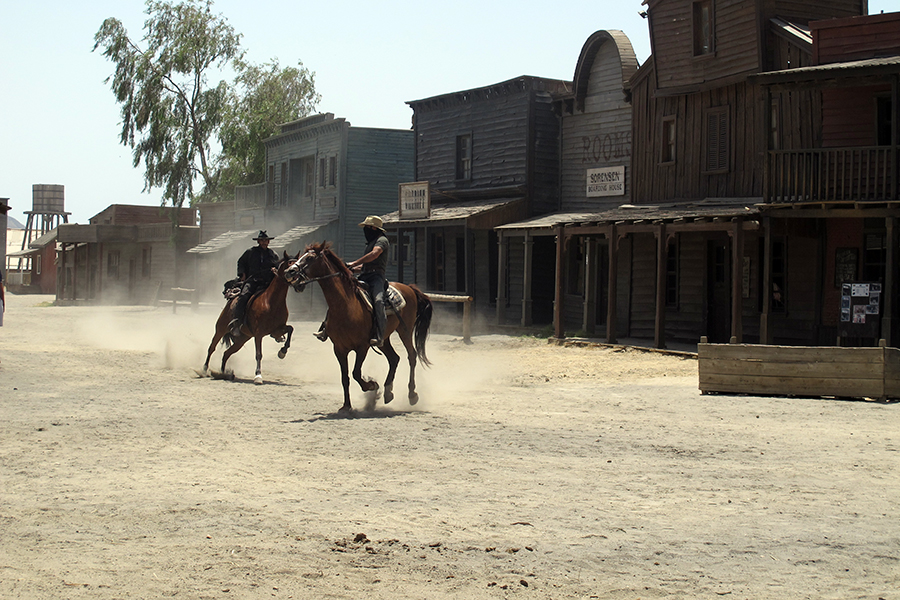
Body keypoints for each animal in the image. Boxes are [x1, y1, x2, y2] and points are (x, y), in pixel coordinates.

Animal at [202, 250, 300, 384]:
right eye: (290, 263)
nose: (297, 274)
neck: (271, 302)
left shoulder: (276, 330)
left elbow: (290, 329)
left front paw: (282, 352)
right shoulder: (259, 334)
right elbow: (259, 354)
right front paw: (258, 376)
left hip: (242, 339)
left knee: (227, 353)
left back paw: (223, 374)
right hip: (220, 329)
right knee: (211, 348)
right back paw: (204, 370)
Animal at [286, 240, 430, 412]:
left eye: (310, 258)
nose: (289, 272)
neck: (346, 305)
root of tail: (410, 288)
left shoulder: (363, 346)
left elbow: (355, 373)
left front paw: (372, 385)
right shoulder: (339, 349)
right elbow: (345, 378)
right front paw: (346, 406)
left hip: (405, 331)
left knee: (412, 356)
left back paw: (412, 395)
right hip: (383, 338)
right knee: (394, 358)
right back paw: (388, 392)